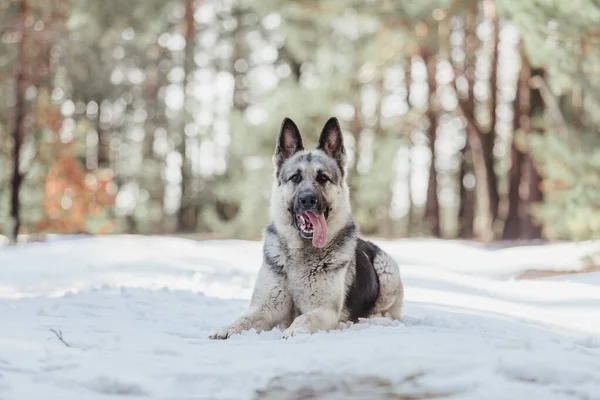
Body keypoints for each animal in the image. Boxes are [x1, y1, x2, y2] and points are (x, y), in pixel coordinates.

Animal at [210, 117, 404, 340]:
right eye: (295, 178)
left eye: (323, 178)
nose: (308, 199)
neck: (301, 253)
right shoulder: (265, 307)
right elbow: (244, 319)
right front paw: (227, 329)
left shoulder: (324, 310)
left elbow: (304, 318)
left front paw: (293, 331)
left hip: (387, 270)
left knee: (386, 313)